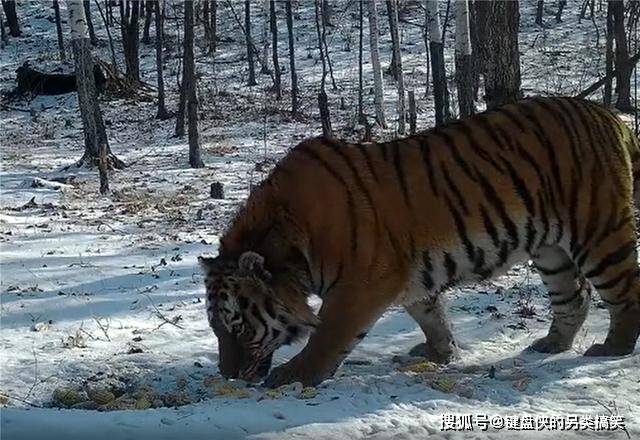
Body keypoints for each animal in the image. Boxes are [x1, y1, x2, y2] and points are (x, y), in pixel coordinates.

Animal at [199, 97, 640, 388]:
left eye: (237, 327)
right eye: (215, 330)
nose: (228, 376)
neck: (290, 244)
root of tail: (609, 115)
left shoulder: (362, 284)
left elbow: (329, 335)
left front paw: (295, 376)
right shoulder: (408, 275)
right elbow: (431, 314)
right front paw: (441, 353)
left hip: (598, 230)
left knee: (624, 291)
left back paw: (611, 348)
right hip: (551, 251)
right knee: (574, 296)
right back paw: (550, 344)